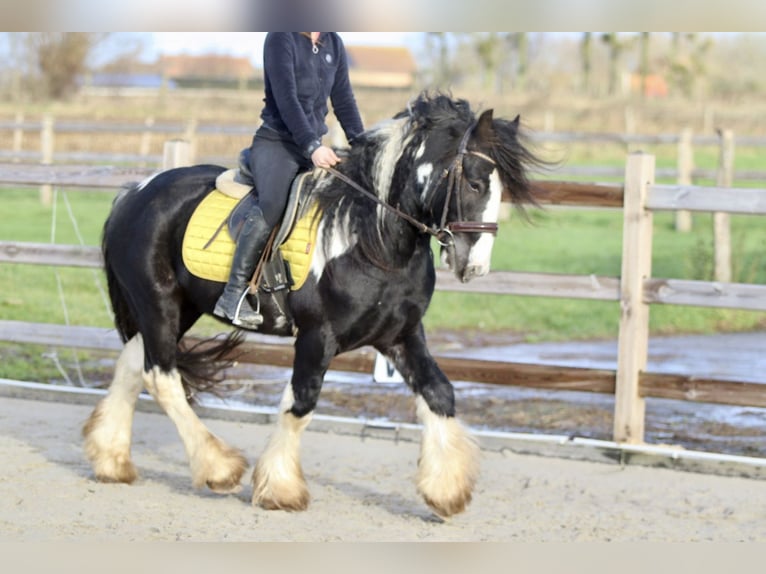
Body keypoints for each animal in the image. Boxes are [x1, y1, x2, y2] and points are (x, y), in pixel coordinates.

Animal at [82, 92, 540, 520]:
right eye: (475, 182)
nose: (473, 266)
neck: (371, 241)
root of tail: (134, 193)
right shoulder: (318, 336)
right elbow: (300, 404)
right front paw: (280, 490)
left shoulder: (401, 335)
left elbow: (439, 393)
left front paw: (446, 491)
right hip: (158, 302)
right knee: (161, 376)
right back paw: (218, 468)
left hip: (180, 307)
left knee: (132, 364)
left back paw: (112, 460)